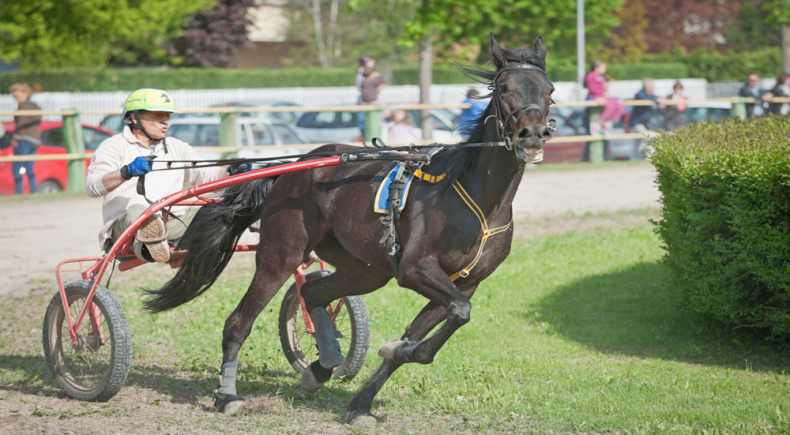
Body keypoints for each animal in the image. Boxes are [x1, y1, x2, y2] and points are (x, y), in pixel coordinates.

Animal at [144, 34, 556, 426]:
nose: (533, 132)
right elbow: (457, 312)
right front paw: (395, 351)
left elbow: (436, 326)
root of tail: (298, 164)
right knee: (238, 322)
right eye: (504, 88)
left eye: (549, 89)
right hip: (282, 254)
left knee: (312, 291)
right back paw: (227, 396)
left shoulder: (466, 281)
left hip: (365, 270)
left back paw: (321, 366)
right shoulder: (415, 269)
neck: (477, 196)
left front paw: (365, 397)